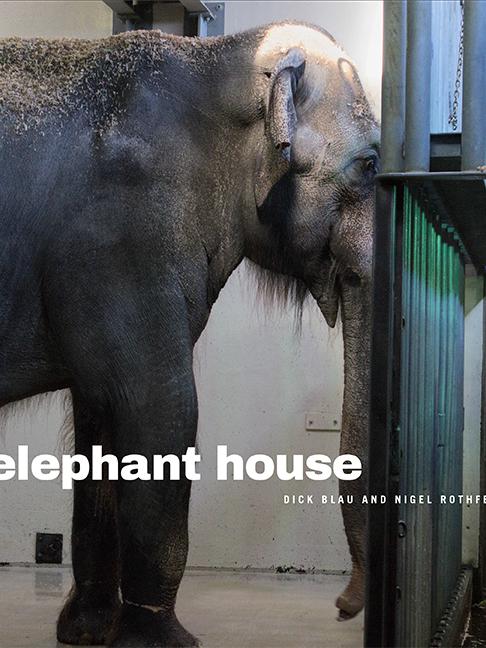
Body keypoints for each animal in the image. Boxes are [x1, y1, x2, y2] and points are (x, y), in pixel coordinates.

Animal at [0, 20, 379, 647]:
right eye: (371, 165)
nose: (344, 607)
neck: (219, 59)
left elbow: (101, 412)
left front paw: (87, 631)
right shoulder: (124, 237)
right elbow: (161, 409)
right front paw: (162, 640)